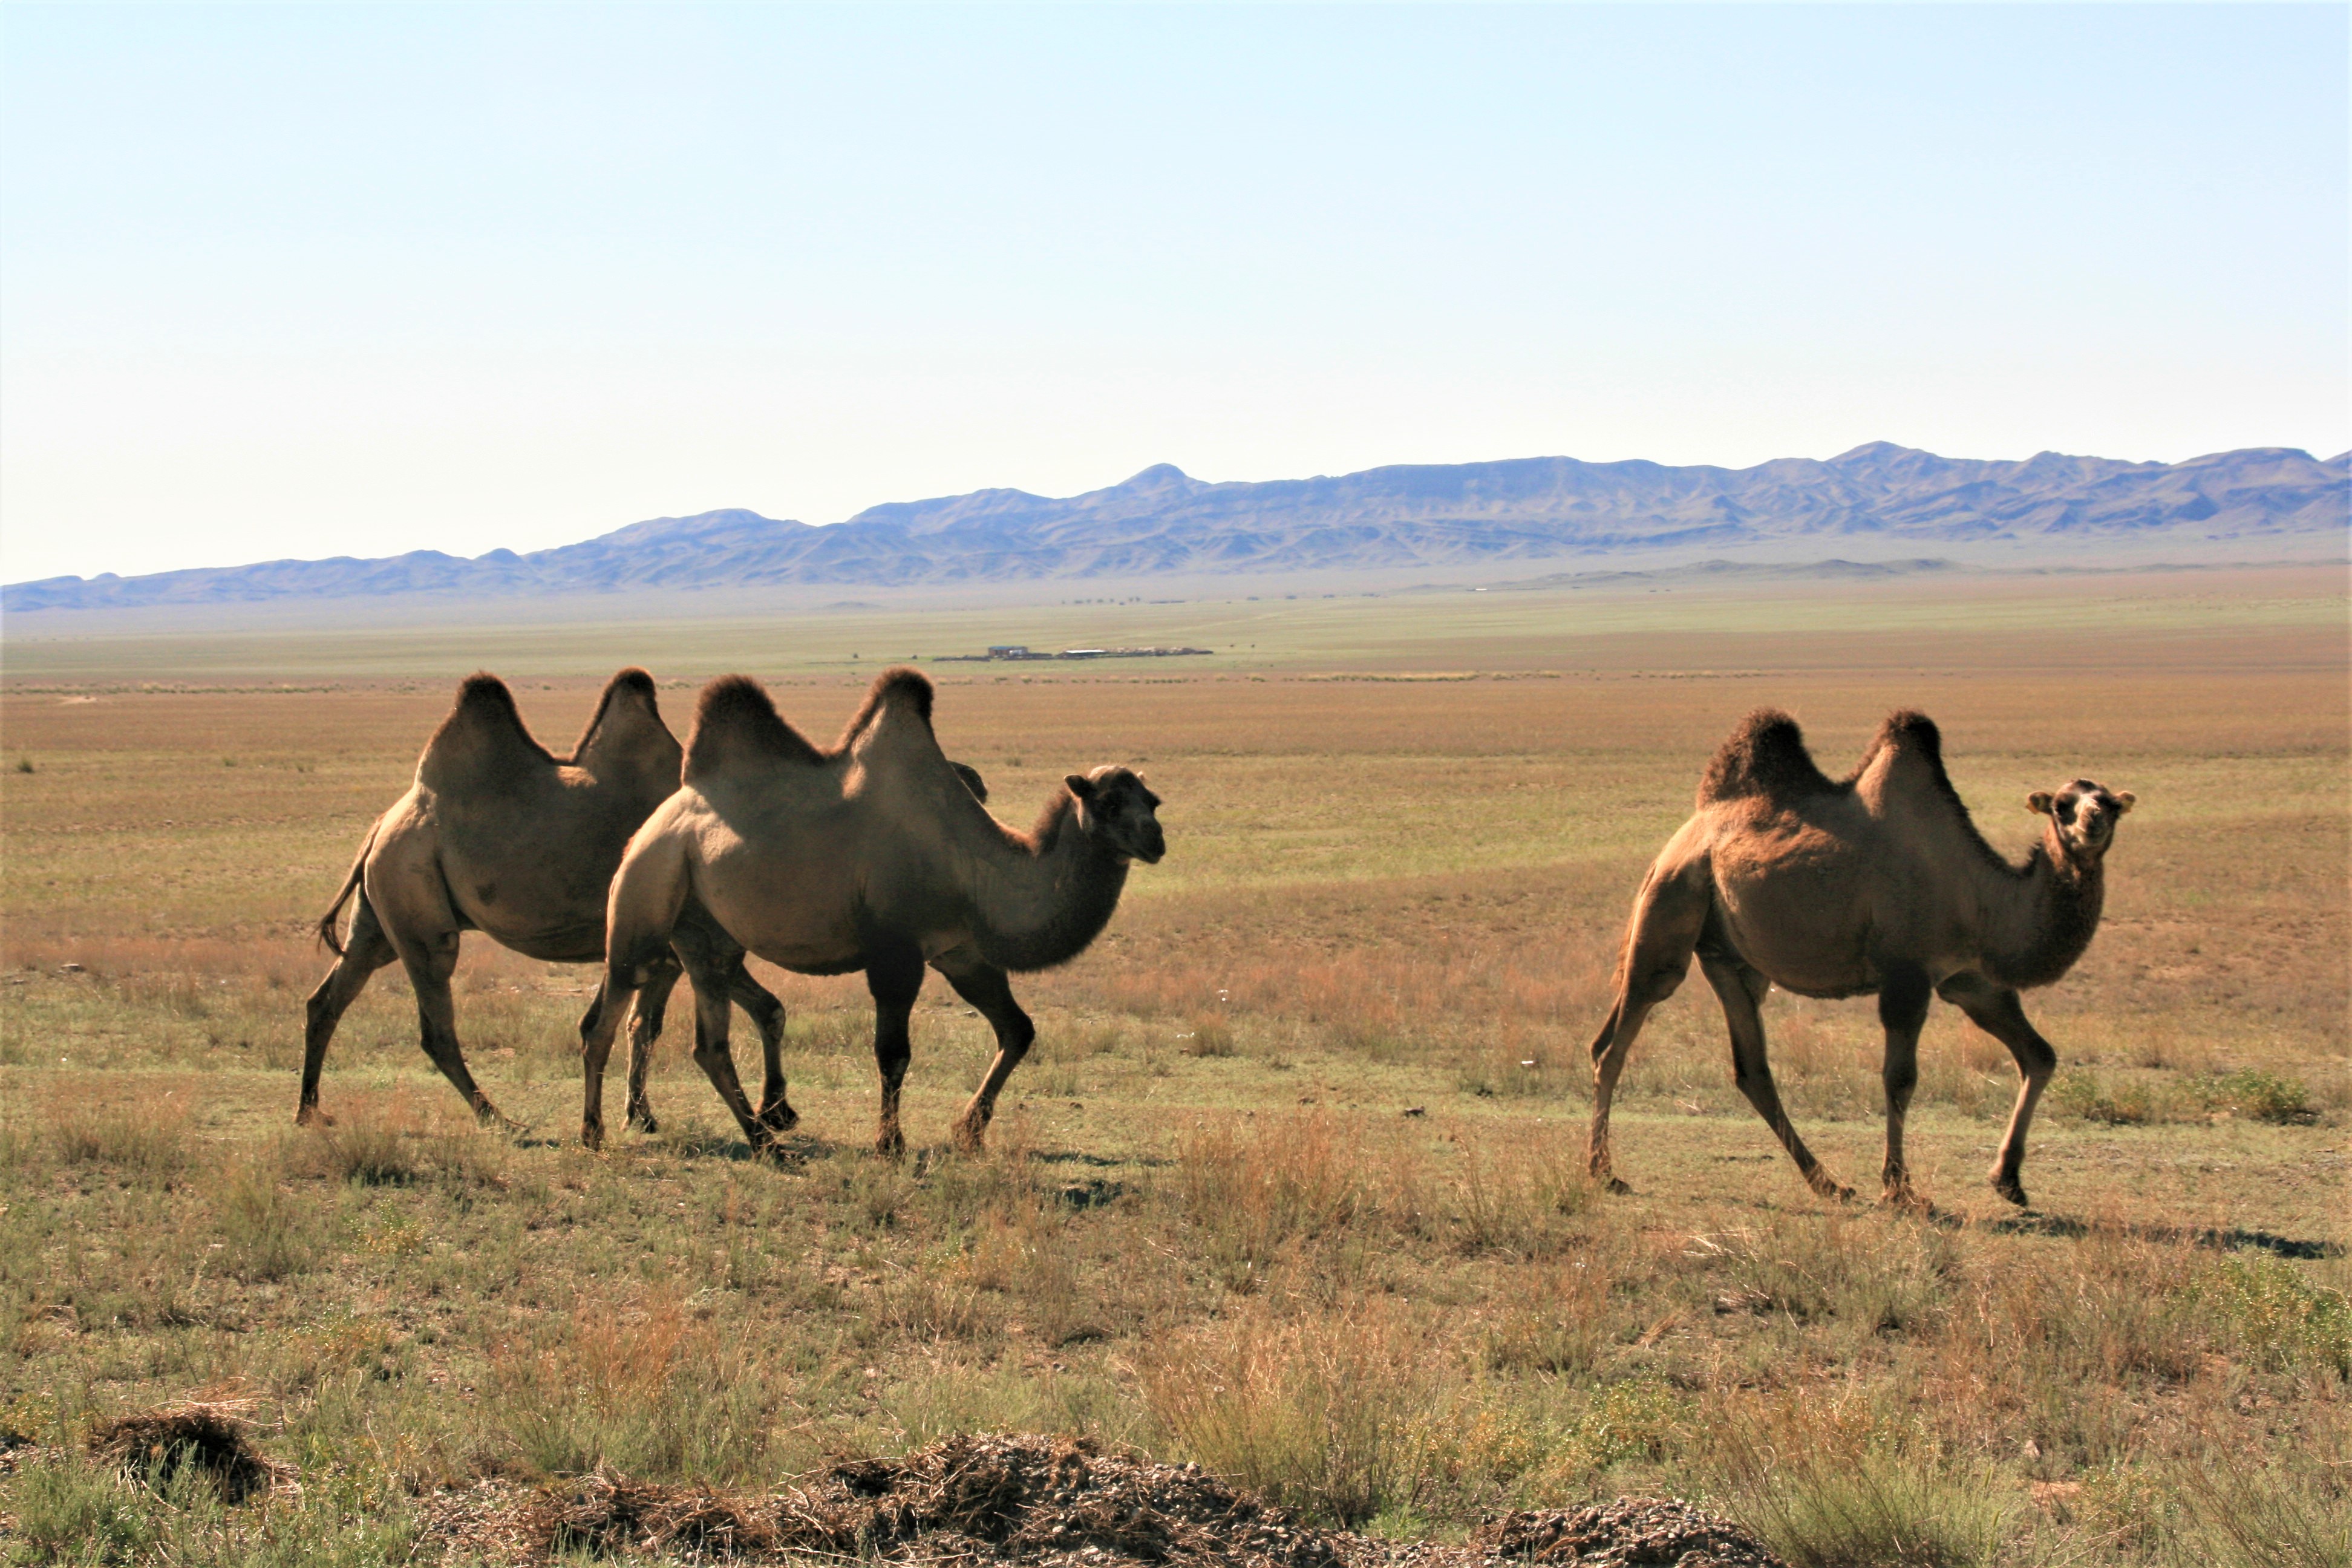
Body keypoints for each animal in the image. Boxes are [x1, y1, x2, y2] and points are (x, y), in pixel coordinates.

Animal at [301, 667, 799, 1133]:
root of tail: (382, 825)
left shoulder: (667, 952)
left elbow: (651, 1025)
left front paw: (643, 1116)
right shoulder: (685, 942)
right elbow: (741, 1010)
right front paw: (772, 1111)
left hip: (379, 914)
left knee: (329, 996)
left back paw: (309, 1110)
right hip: (414, 894)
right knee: (435, 1022)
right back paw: (497, 1117)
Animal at [578, 667, 1166, 1161]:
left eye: (1154, 800)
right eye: (1111, 803)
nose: (1156, 840)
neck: (968, 861)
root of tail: (658, 819)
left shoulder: (960, 951)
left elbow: (1018, 1030)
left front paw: (969, 1130)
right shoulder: (895, 949)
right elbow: (893, 1052)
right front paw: (891, 1143)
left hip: (707, 934)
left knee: (711, 1043)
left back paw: (766, 1140)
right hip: (645, 896)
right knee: (603, 1019)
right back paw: (594, 1132)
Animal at [1580, 710, 2135, 1213]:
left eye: (2111, 803)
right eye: (2061, 806)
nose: (2093, 821)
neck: (1978, 893)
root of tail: (1679, 839)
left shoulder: (1969, 979)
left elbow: (2040, 1056)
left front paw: (2009, 1180)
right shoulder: (1906, 974)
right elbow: (1901, 1079)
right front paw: (1900, 1190)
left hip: (1730, 957)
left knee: (1750, 1067)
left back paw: (1829, 1184)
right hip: (1672, 903)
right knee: (1616, 1040)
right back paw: (1604, 1174)